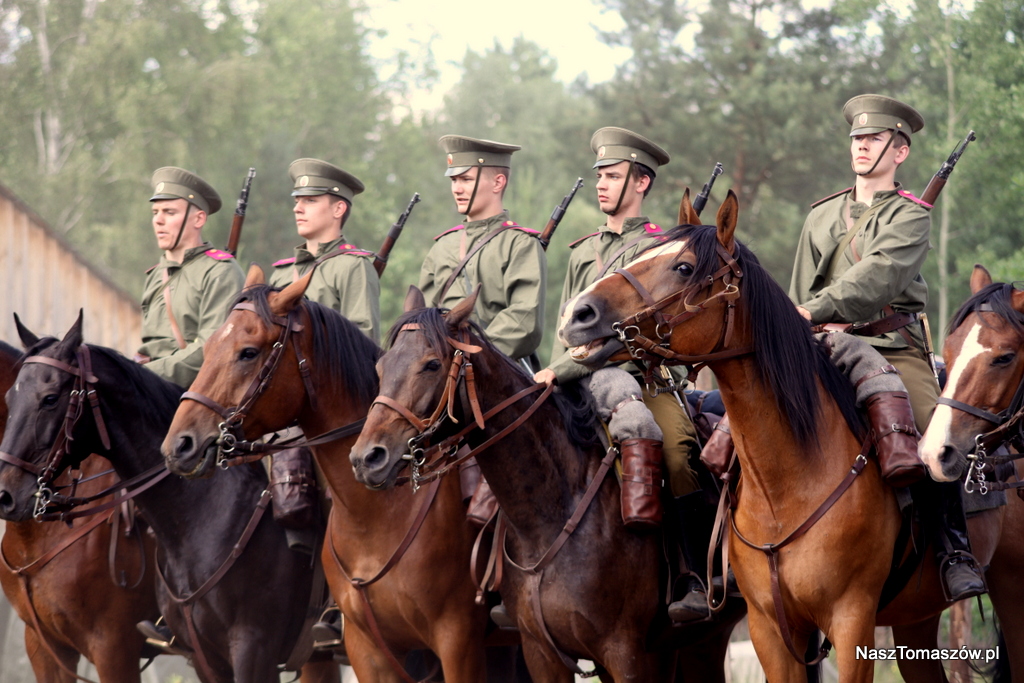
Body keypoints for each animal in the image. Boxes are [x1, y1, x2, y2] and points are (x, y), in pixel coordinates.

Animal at [160, 266, 506, 683]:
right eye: (208, 348)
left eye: (248, 352)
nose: (179, 445)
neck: (379, 516)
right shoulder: (366, 649)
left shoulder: (458, 642)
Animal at [349, 285, 744, 682]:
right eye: (381, 366)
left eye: (431, 364)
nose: (367, 457)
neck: (553, 512)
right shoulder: (541, 653)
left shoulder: (628, 654)